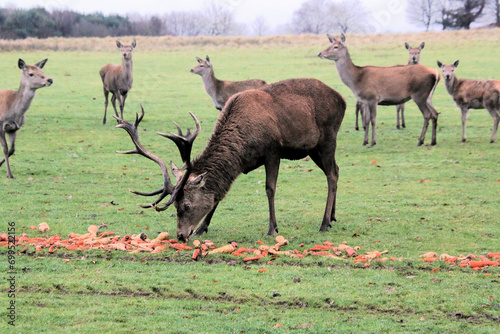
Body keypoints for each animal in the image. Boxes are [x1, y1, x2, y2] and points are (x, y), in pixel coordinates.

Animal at [115, 77, 346, 240]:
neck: (242, 148)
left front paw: (272, 228)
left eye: (186, 206)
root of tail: (342, 99)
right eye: (174, 206)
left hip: (328, 137)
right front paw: (201, 228)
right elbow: (218, 194)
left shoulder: (273, 150)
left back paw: (324, 223)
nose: (180, 235)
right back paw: (333, 217)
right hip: (313, 149)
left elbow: (270, 188)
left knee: (332, 174)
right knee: (335, 170)